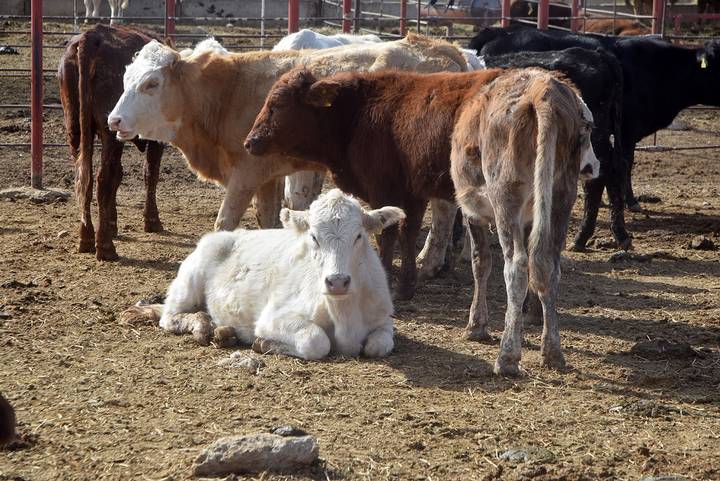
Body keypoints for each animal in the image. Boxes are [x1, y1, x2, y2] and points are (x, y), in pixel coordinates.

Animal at [58, 24, 165, 260]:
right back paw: (105, 246)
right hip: (109, 131)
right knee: (102, 179)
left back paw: (87, 238)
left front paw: (113, 223)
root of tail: (92, 37)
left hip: (75, 127)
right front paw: (152, 221)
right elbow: (150, 173)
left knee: (84, 178)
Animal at [107, 33, 466, 234]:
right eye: (125, 78)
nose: (114, 120)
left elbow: (225, 221)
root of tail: (441, 48)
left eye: (151, 83)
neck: (226, 92)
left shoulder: (245, 174)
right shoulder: (268, 176)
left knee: (444, 212)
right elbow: (267, 217)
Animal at [124, 189, 404, 358]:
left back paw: (223, 331)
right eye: (313, 236)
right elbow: (316, 341)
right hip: (189, 281)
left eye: (359, 236)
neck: (344, 314)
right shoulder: (273, 318)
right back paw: (202, 325)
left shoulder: (383, 319)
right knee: (170, 316)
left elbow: (379, 345)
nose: (337, 282)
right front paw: (263, 343)